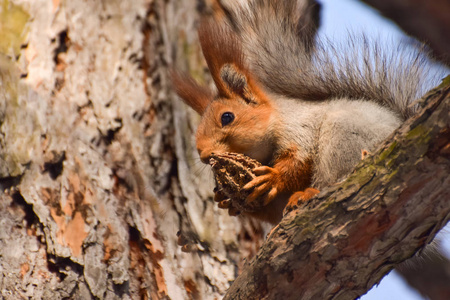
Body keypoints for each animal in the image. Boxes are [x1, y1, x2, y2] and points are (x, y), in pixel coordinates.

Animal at [171, 0, 442, 225]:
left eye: (227, 117)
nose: (203, 155)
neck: (277, 118)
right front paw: (227, 201)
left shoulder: (301, 126)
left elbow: (300, 159)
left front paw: (273, 177)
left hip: (344, 136)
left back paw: (312, 192)